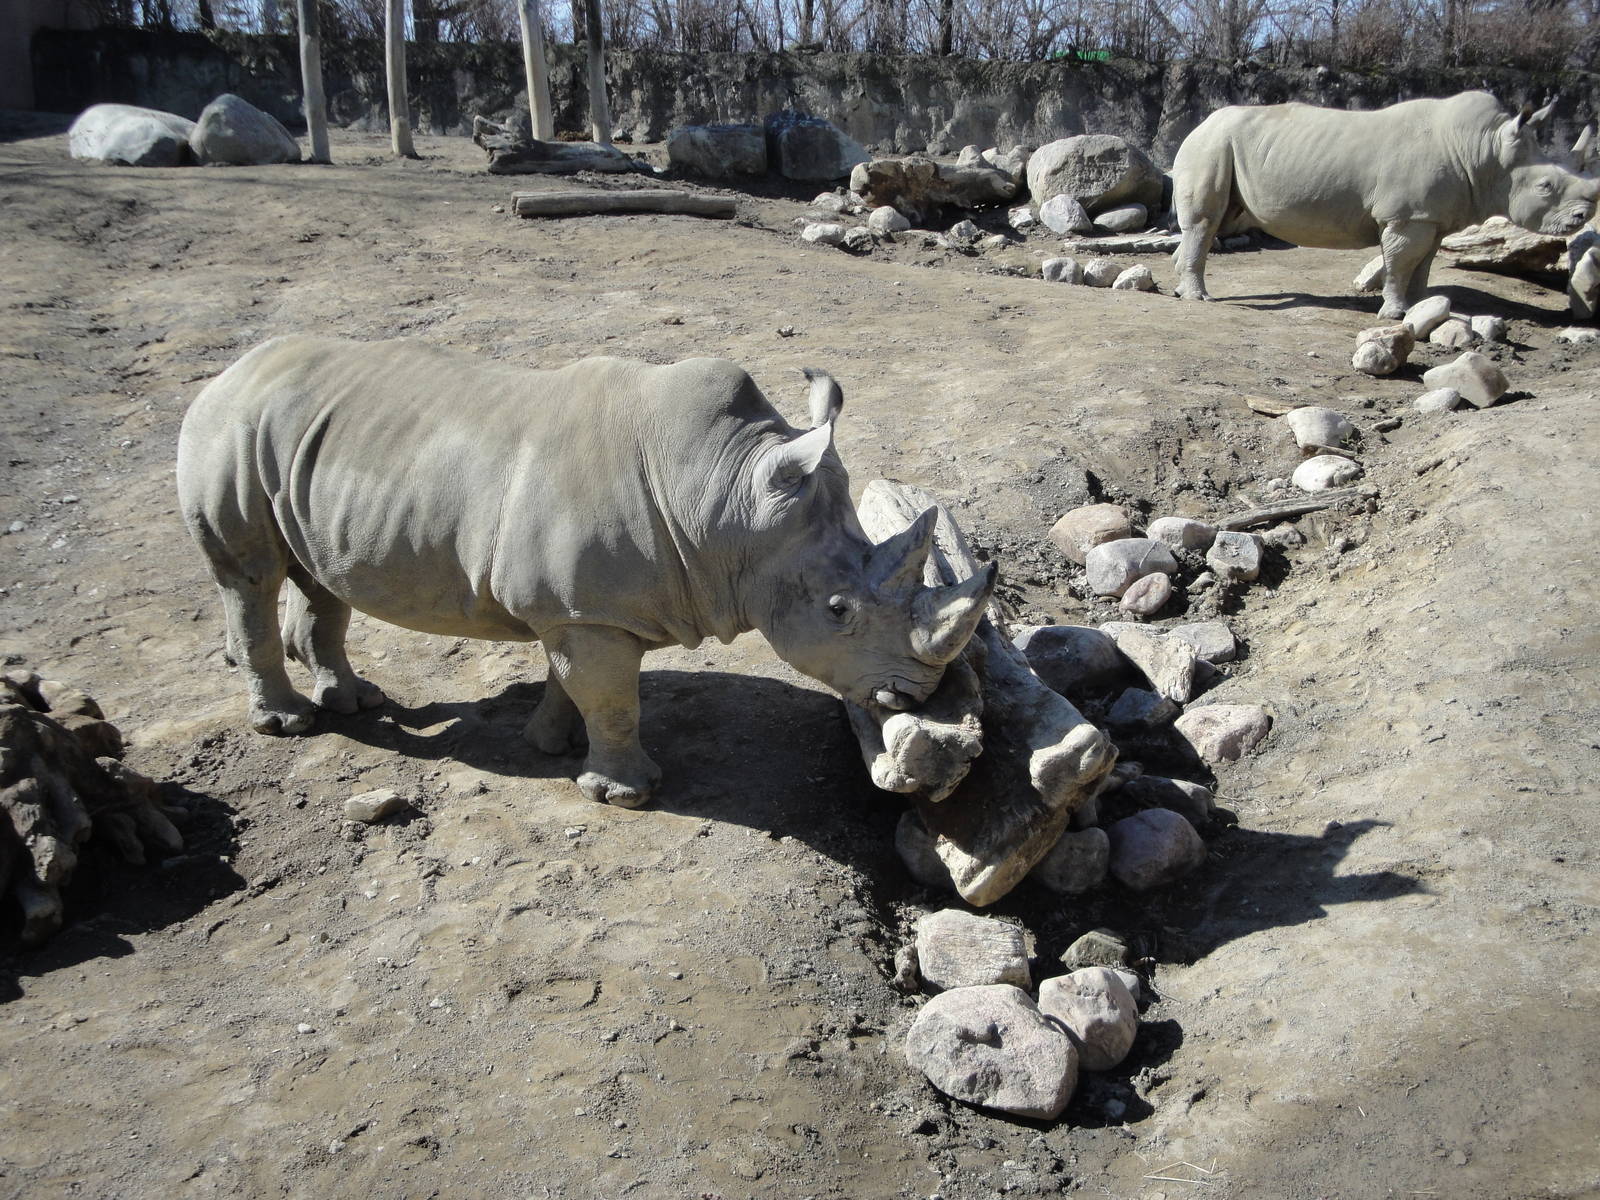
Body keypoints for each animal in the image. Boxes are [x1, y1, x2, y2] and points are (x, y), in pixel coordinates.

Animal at [176, 336, 996, 809]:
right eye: (837, 609)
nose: (918, 694)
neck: (721, 498)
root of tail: (232, 369)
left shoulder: (574, 605)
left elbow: (569, 681)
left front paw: (552, 746)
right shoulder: (587, 612)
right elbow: (610, 696)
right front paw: (626, 794)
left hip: (301, 446)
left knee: (319, 574)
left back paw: (351, 701)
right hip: (229, 429)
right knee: (249, 576)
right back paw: (289, 724)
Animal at [1172, 92, 1600, 318]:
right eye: (1546, 186)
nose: (1582, 217)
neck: (1485, 152)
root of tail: (1199, 124)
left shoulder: (1432, 217)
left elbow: (1424, 262)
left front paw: (1423, 305)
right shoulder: (1407, 216)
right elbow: (1400, 261)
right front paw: (1394, 313)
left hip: (1221, 145)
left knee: (1216, 222)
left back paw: (1179, 289)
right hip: (1211, 144)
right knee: (1206, 222)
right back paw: (1199, 299)